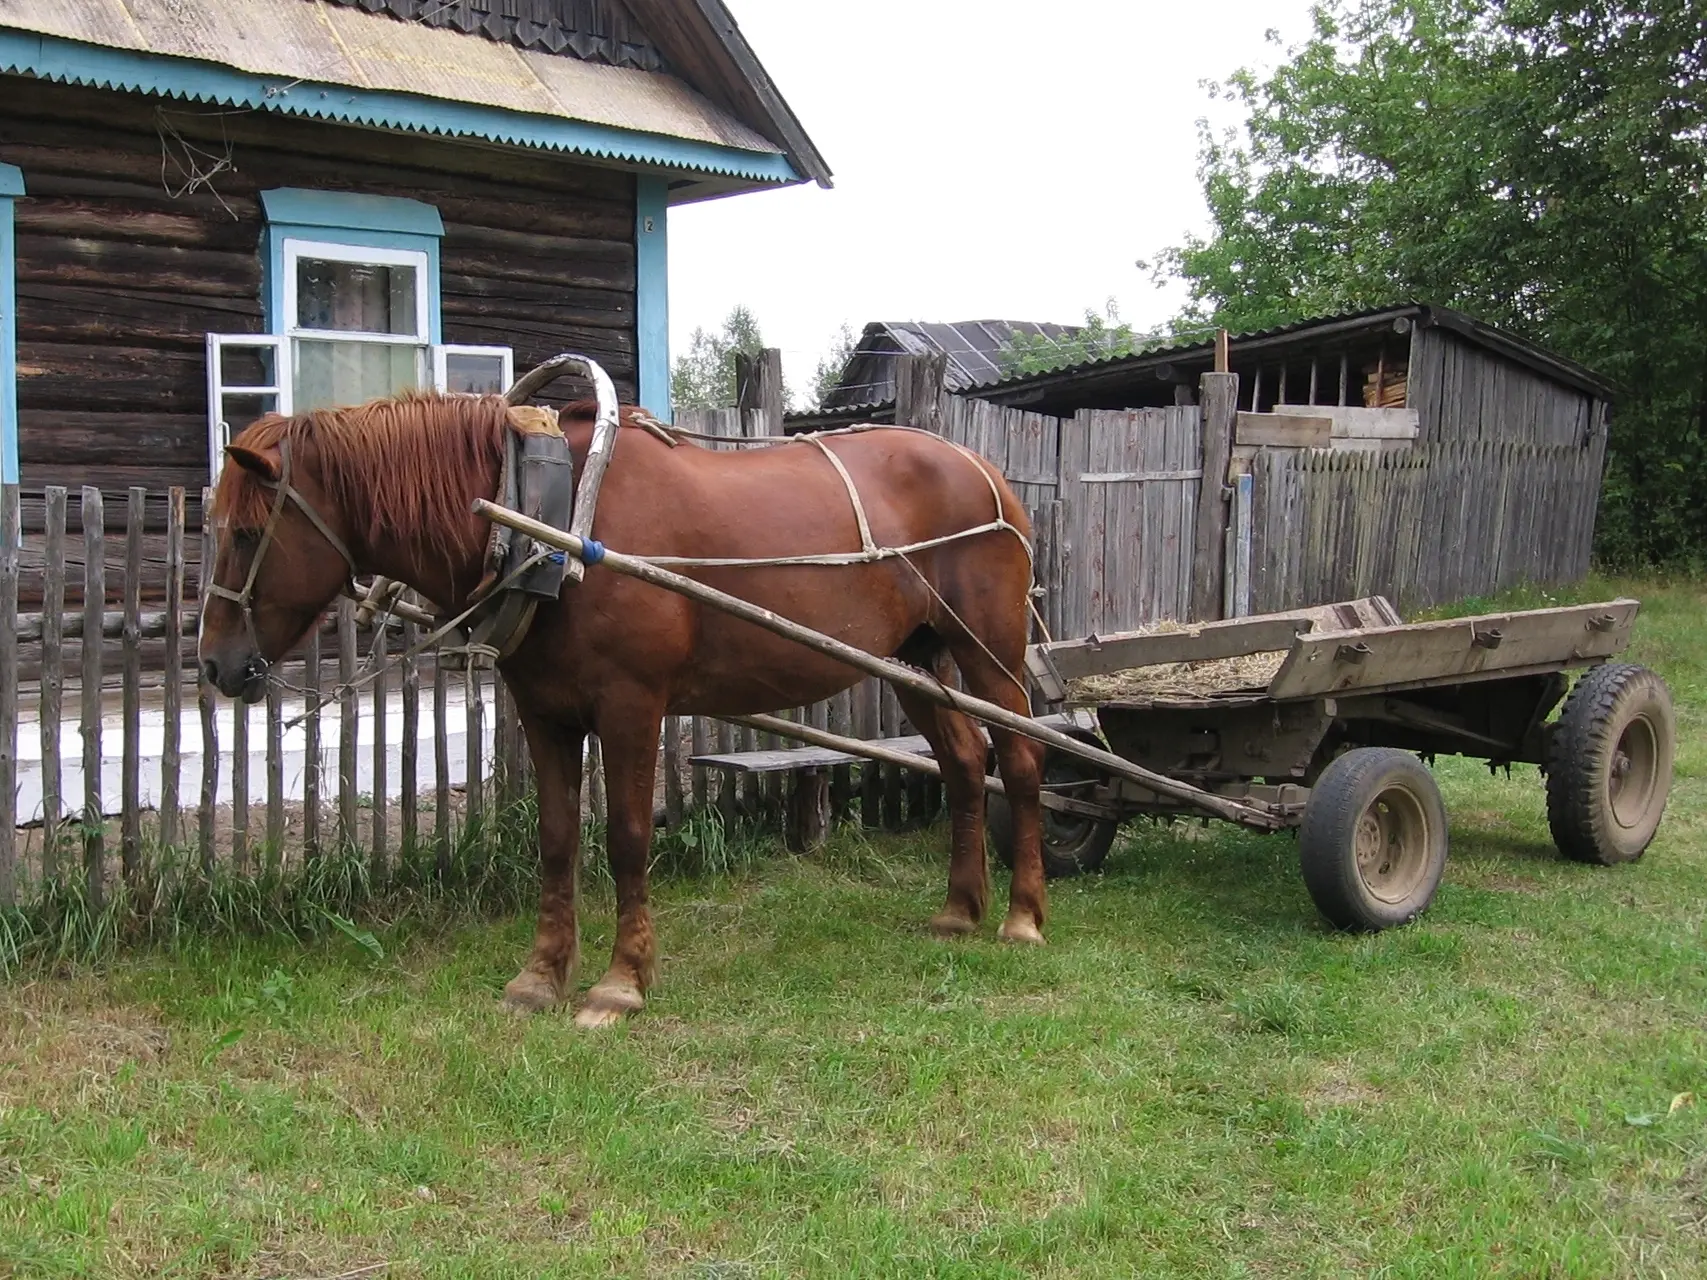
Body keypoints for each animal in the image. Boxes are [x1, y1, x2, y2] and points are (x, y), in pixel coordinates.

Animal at [201, 395, 1051, 1030]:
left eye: (247, 533)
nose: (215, 665)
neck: (550, 523)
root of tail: (985, 471)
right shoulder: (544, 712)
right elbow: (555, 841)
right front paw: (540, 976)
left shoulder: (632, 705)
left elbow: (627, 838)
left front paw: (621, 981)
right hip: (914, 661)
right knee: (962, 761)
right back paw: (958, 910)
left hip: (988, 654)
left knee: (1019, 759)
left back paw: (1022, 915)